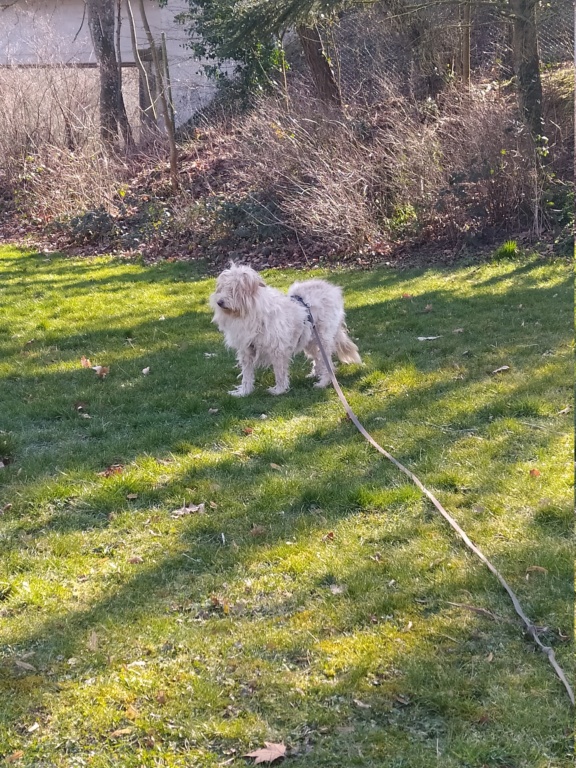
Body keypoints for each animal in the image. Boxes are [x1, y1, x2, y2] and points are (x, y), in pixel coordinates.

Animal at [208, 262, 360, 396]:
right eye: (221, 289)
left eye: (233, 289)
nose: (219, 302)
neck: (250, 313)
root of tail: (332, 289)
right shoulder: (247, 351)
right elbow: (247, 374)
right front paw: (244, 392)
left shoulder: (277, 350)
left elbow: (279, 372)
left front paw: (279, 390)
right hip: (309, 340)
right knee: (318, 358)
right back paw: (315, 374)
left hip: (323, 339)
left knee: (327, 363)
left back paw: (323, 382)